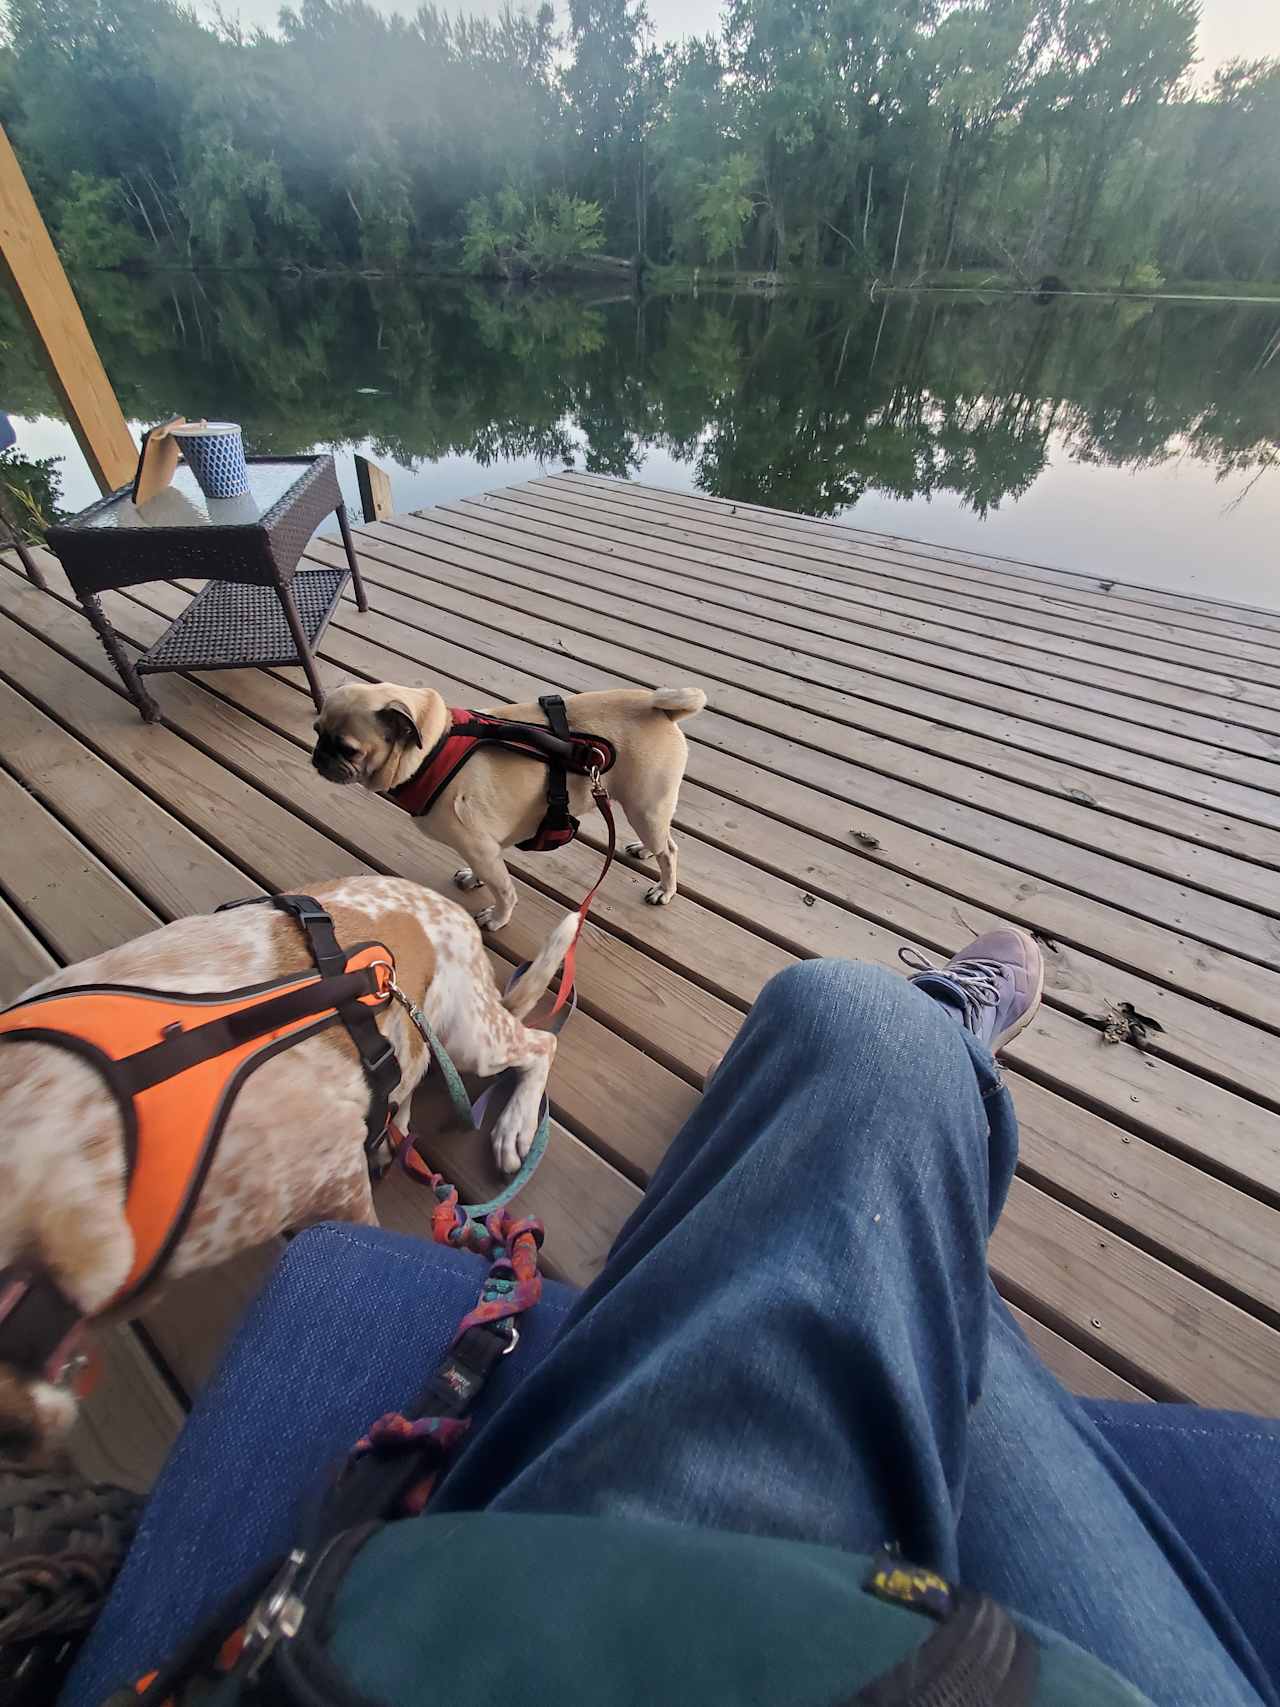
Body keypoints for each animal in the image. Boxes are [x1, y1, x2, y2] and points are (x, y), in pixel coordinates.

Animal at [0, 880, 576, 1454]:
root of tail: (453, 915)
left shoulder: (335, 1176)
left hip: (471, 1037)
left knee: (540, 1045)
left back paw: (515, 1123)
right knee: (415, 1071)